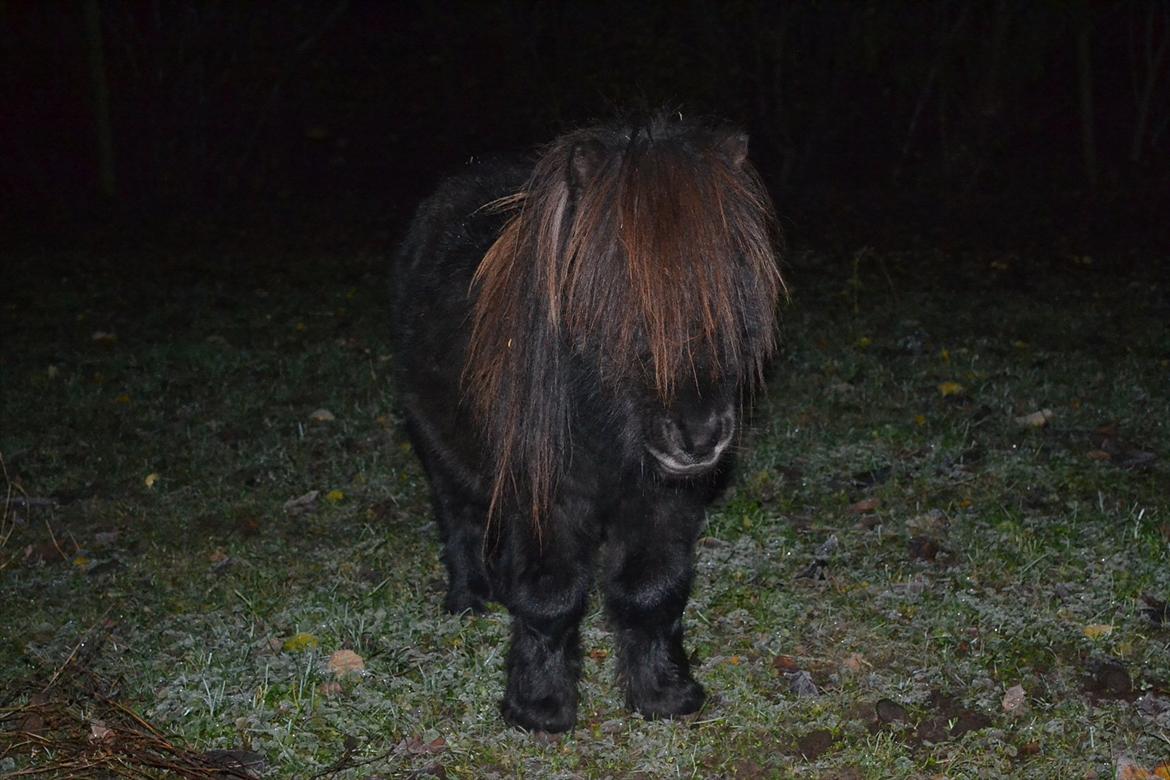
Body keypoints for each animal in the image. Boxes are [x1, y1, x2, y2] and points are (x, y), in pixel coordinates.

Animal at [393, 114, 786, 734]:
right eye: (616, 304)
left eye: (732, 292)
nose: (700, 437)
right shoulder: (542, 498)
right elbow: (549, 596)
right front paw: (538, 707)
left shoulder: (663, 499)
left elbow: (652, 590)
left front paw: (664, 693)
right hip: (438, 451)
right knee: (461, 520)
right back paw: (470, 600)